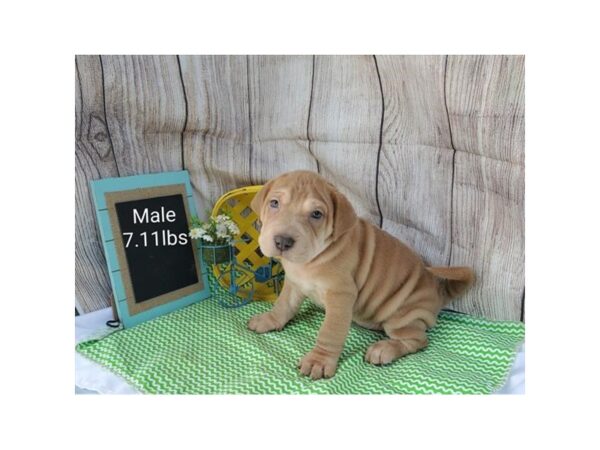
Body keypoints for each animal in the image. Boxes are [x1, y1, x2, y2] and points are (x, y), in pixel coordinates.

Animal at [247, 171, 474, 378]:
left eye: (316, 214)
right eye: (274, 203)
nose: (283, 241)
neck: (311, 259)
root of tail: (438, 291)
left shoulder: (341, 295)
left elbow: (329, 332)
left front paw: (318, 360)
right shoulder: (295, 283)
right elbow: (283, 305)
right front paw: (269, 319)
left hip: (402, 316)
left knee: (417, 340)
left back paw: (383, 349)